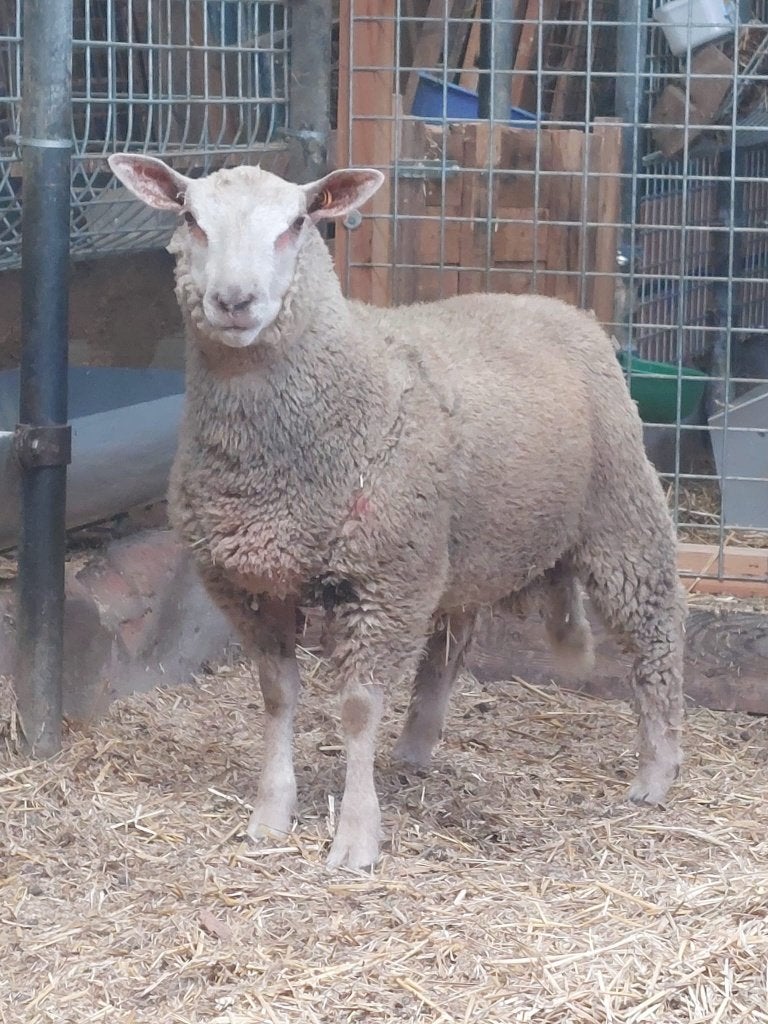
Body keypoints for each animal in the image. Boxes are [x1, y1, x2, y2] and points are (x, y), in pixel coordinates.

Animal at [107, 153, 686, 871]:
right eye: (191, 218)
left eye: (297, 224)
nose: (234, 302)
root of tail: (555, 303)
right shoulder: (252, 585)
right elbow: (277, 697)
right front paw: (271, 814)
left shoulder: (384, 580)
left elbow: (358, 709)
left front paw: (356, 837)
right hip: (458, 549)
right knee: (451, 644)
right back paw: (415, 747)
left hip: (620, 514)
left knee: (656, 638)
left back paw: (657, 772)